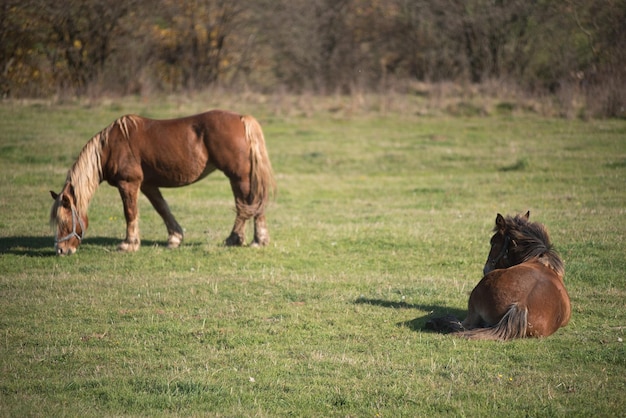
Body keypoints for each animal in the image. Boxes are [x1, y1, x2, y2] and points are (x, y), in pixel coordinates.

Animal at [52, 109, 276, 255]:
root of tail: (242, 119)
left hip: (238, 176)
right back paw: (248, 239)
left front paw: (128, 244)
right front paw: (175, 238)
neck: (111, 147)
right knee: (248, 205)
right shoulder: (148, 185)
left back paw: (248, 239)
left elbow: (130, 212)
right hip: (238, 177)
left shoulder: (128, 184)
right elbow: (163, 209)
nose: (61, 250)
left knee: (249, 204)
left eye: (65, 221)